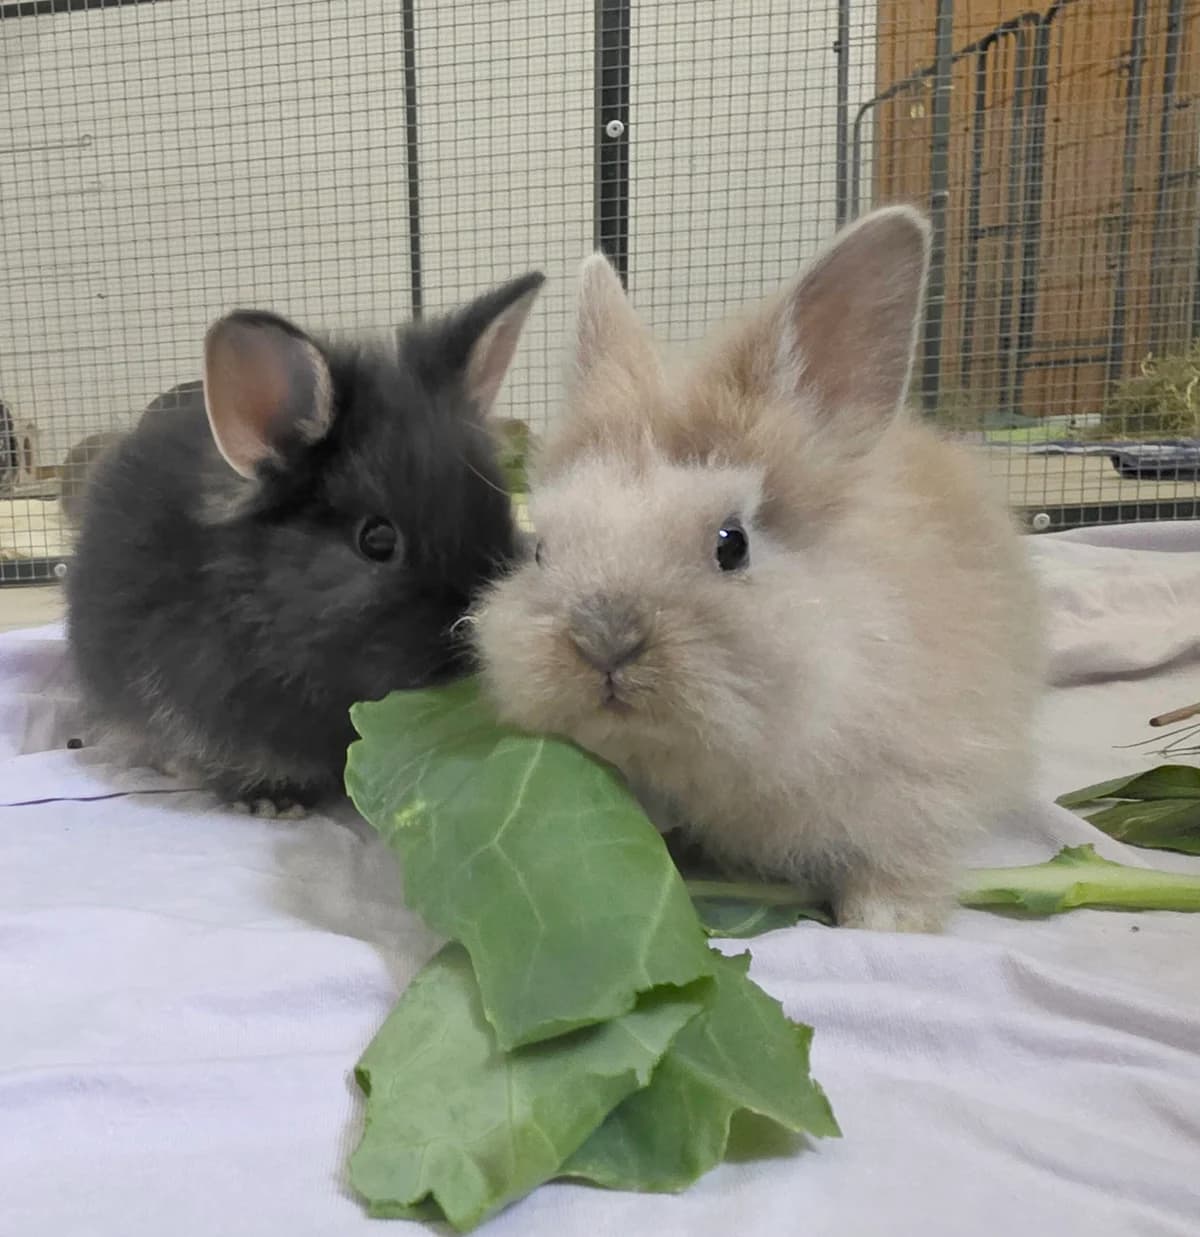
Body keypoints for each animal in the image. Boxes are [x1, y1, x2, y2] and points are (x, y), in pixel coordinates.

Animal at [471, 209, 1041, 932]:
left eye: (732, 544)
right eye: (542, 549)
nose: (604, 639)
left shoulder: (923, 781)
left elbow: (902, 866)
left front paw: (881, 925)